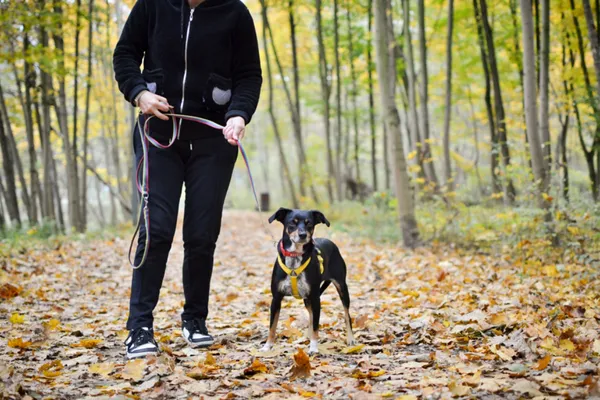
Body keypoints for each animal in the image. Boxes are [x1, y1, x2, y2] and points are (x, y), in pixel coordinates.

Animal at [260, 209, 354, 354]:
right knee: (310, 315)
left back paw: (350, 339)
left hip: (341, 287)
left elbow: (316, 325)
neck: (295, 258)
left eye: (309, 223)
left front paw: (313, 347)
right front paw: (267, 345)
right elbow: (272, 325)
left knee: (346, 314)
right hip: (307, 299)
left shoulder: (315, 298)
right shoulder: (276, 298)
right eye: (292, 222)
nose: (303, 235)